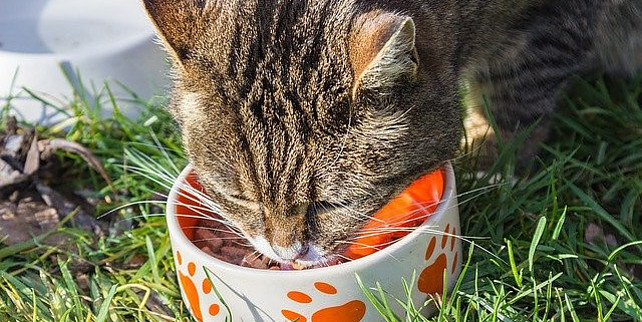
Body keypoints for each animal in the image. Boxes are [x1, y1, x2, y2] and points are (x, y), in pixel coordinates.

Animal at [141, 0, 640, 266]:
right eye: (239, 198)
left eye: (332, 204)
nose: (288, 255)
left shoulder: (549, 23)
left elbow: (516, 92)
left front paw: (491, 160)